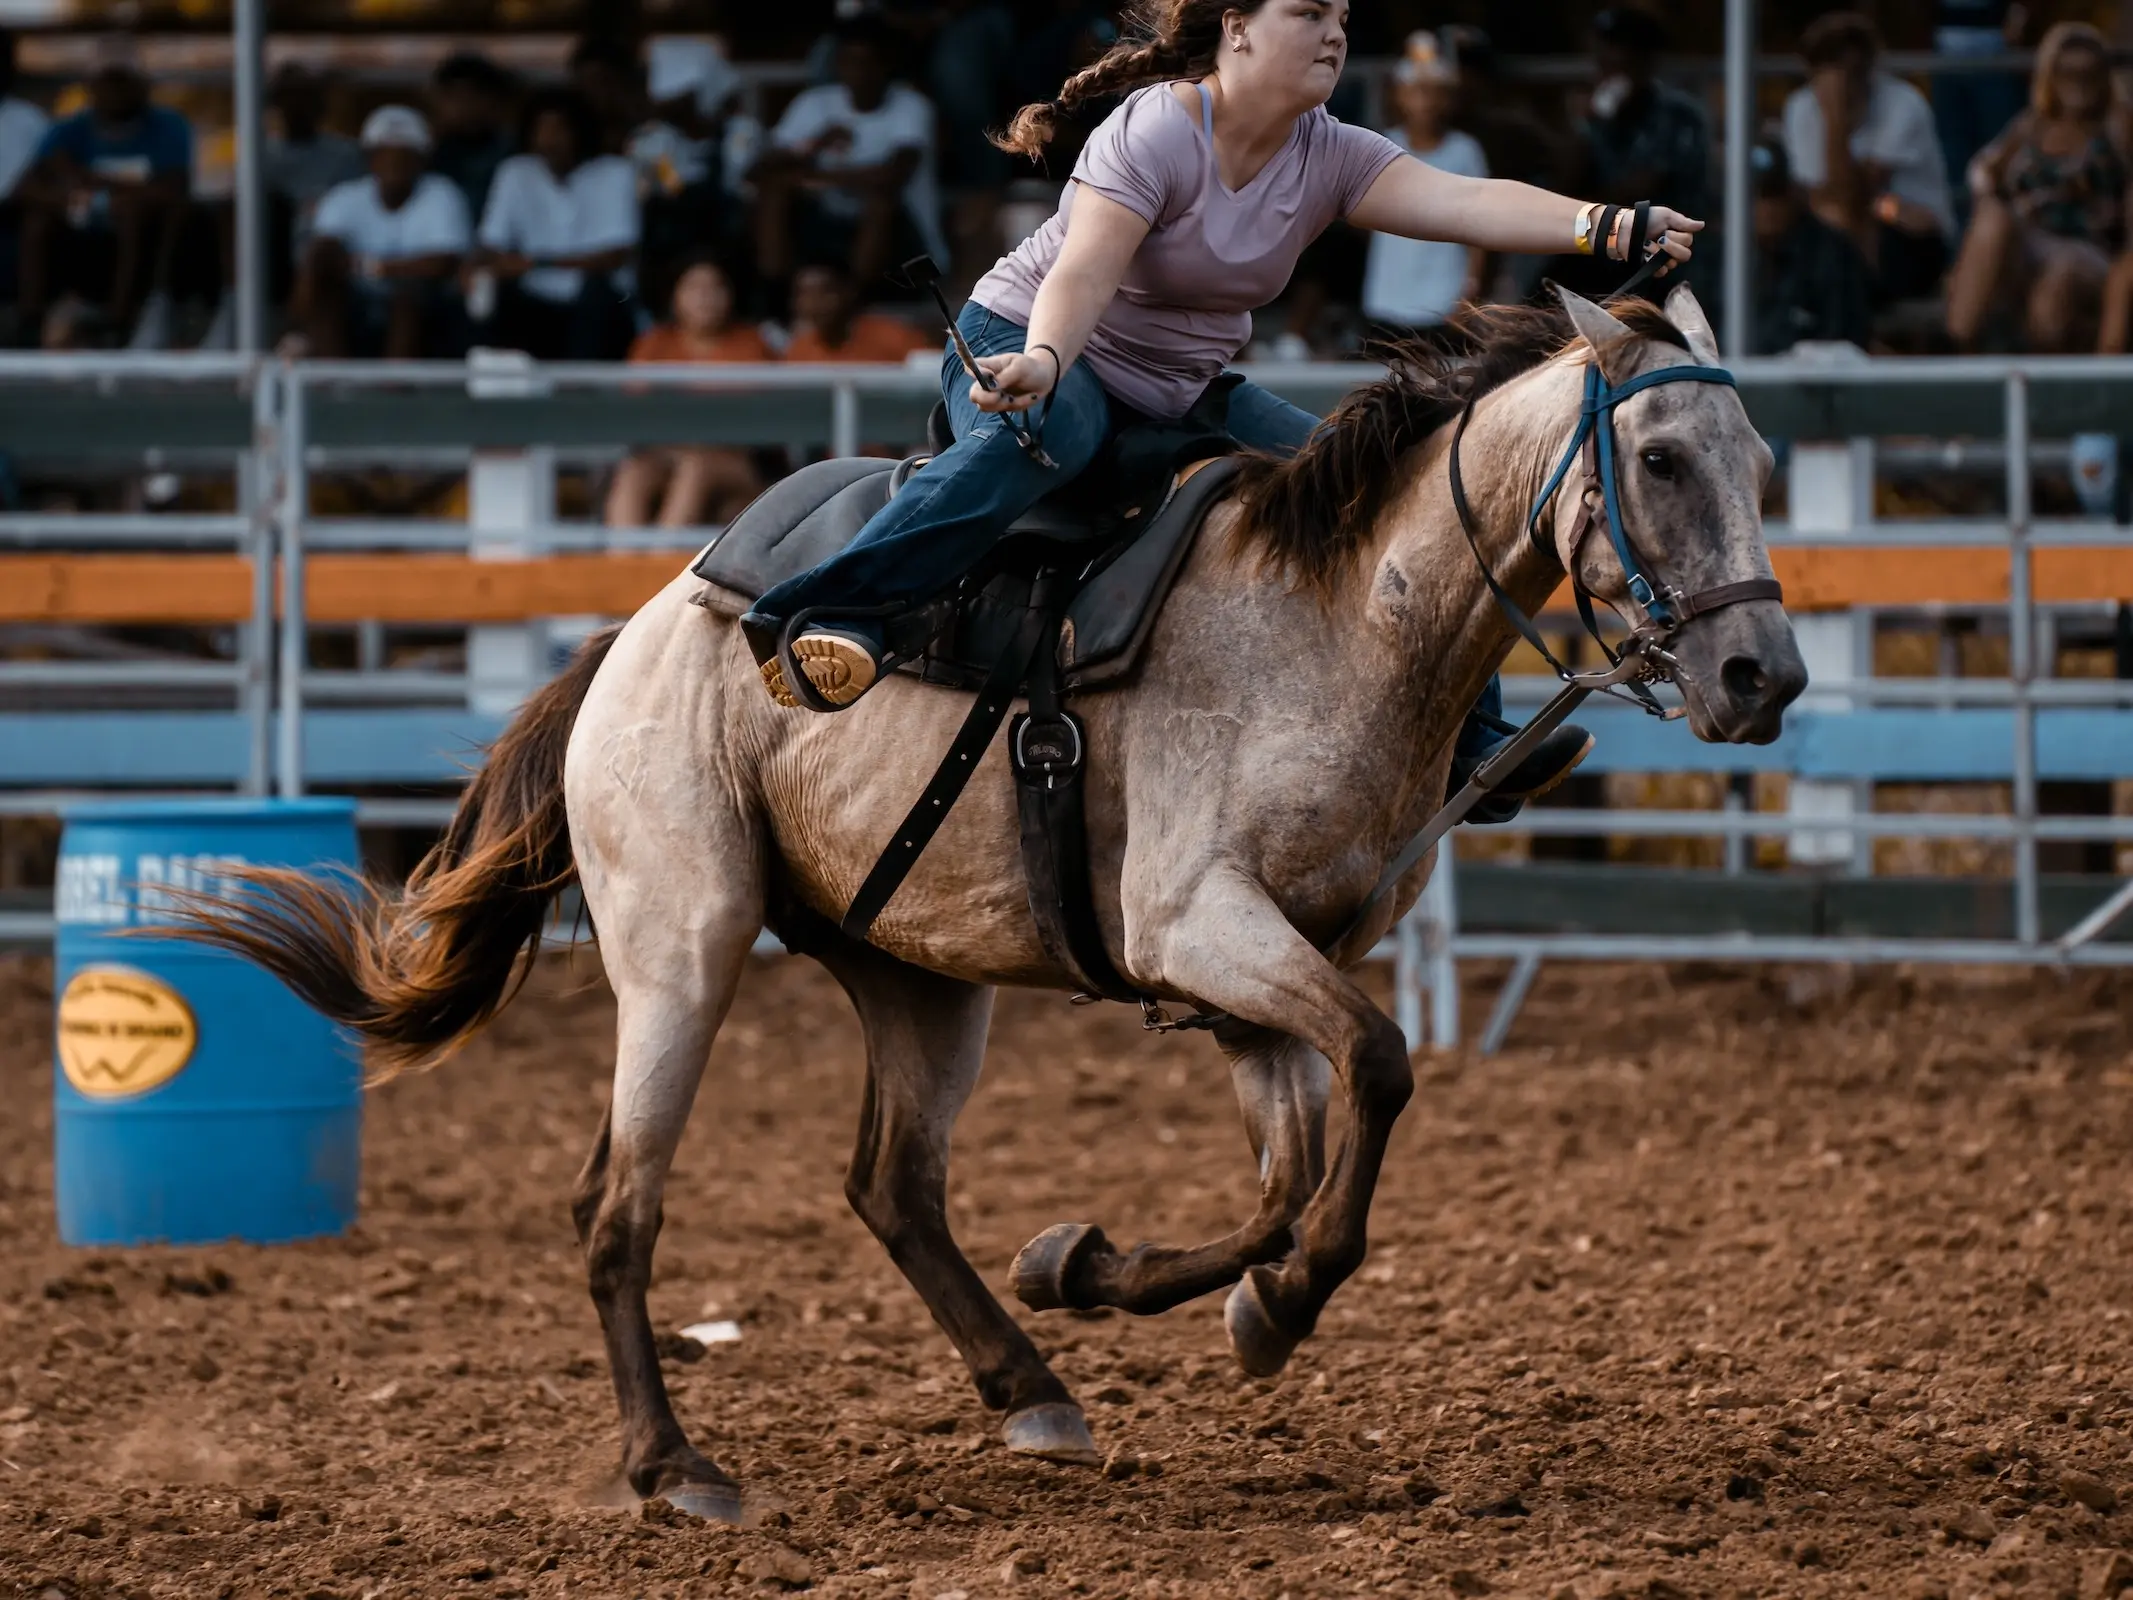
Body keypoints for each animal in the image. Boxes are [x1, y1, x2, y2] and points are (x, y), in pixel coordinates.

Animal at [157, 281, 1808, 1518]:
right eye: (1660, 460)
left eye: (1759, 461)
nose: (1762, 678)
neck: (1336, 619)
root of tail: (640, 633)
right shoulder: (1201, 928)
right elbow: (1378, 1076)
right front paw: (1264, 1308)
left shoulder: (1257, 976)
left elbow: (1290, 1174)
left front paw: (1124, 1274)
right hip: (682, 947)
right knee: (616, 1203)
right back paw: (676, 1468)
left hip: (917, 974)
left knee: (892, 1184)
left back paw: (1031, 1388)